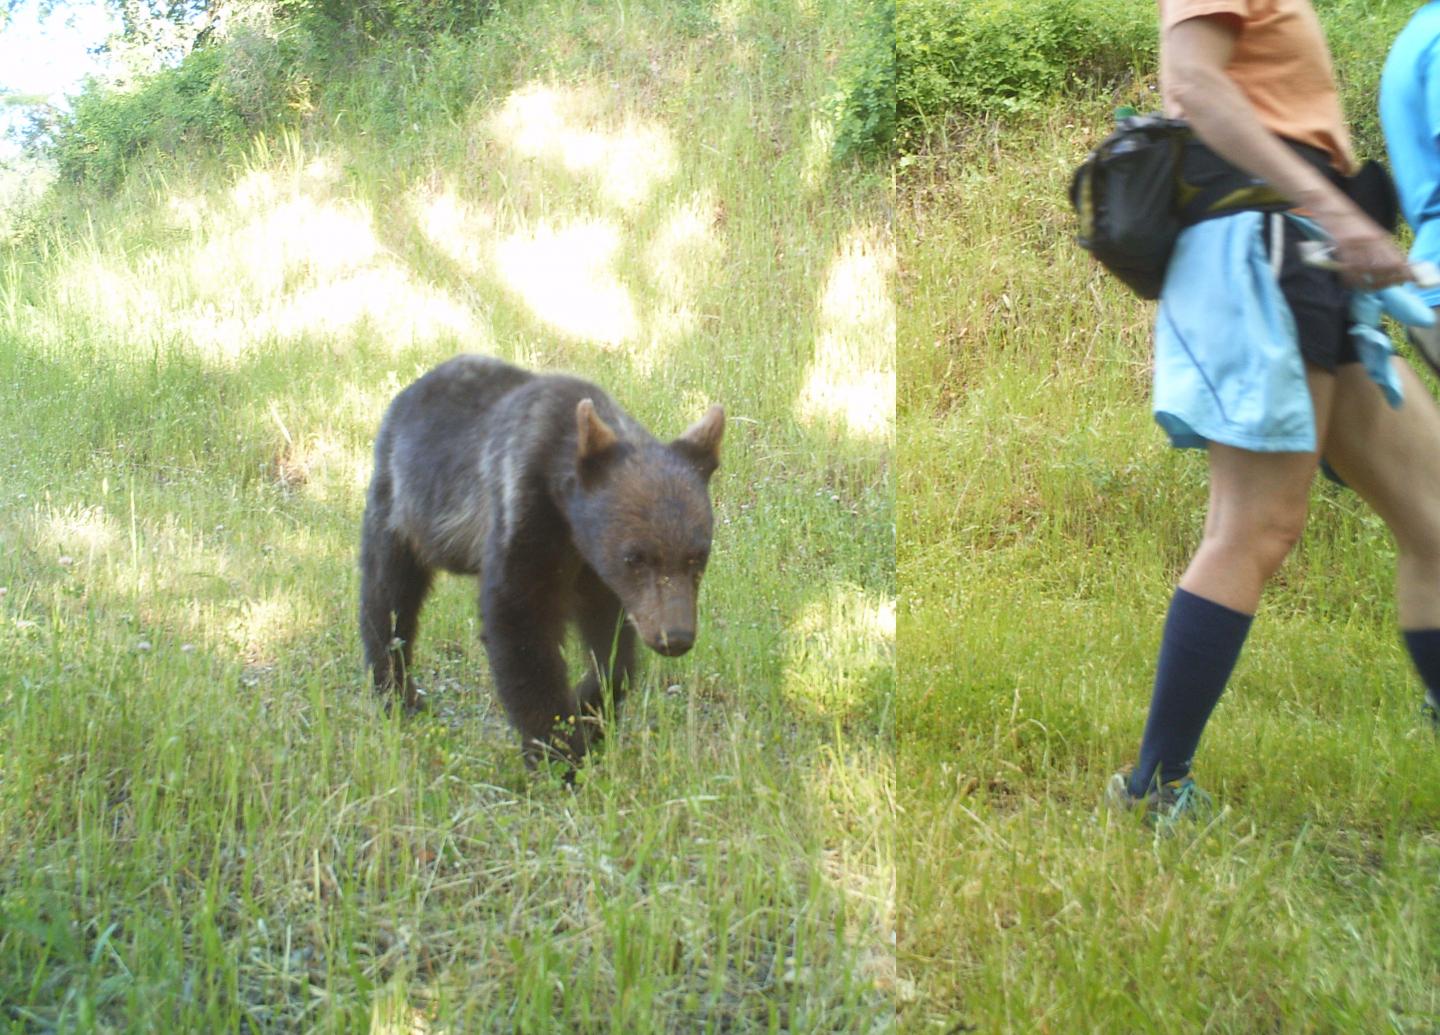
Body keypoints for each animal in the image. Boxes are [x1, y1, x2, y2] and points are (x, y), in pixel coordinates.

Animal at [359, 354, 724, 770]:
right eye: (635, 556)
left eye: (698, 556)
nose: (674, 637)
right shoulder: (523, 518)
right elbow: (520, 628)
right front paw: (558, 752)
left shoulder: (595, 572)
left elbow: (612, 644)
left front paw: (590, 708)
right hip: (398, 505)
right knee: (388, 595)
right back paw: (397, 693)